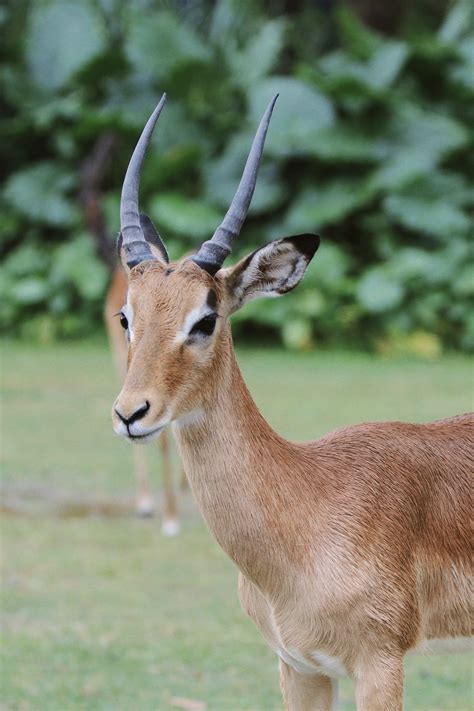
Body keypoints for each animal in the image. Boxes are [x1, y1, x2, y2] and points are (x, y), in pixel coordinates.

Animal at [110, 96, 470, 711]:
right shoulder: (299, 667)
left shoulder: (379, 664)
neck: (309, 504)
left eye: (205, 318)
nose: (131, 413)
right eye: (125, 315)